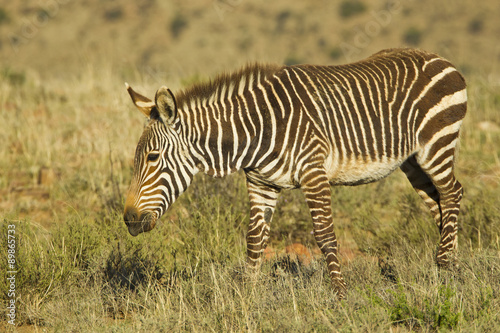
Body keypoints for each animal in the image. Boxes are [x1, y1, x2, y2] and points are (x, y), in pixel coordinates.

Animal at [123, 48, 466, 296]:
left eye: (152, 157)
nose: (128, 220)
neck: (256, 130)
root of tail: (439, 58)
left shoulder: (314, 173)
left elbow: (325, 235)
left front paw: (340, 295)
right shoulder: (261, 183)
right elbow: (254, 239)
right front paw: (246, 297)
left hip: (436, 144)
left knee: (452, 193)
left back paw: (446, 267)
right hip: (412, 161)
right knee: (439, 203)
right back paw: (451, 265)